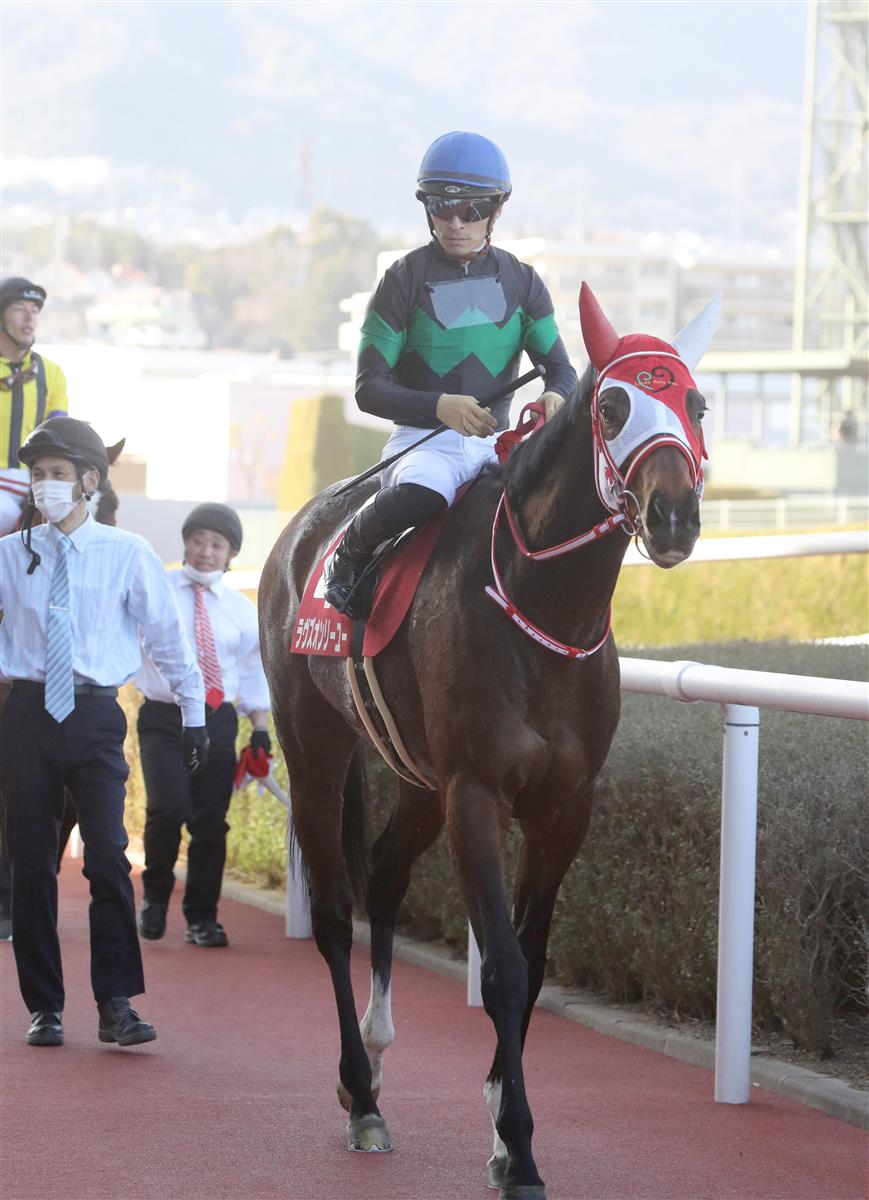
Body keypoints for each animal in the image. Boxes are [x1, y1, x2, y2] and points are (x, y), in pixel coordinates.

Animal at [258, 285, 720, 1195]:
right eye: (612, 406)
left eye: (696, 403)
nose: (673, 516)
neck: (544, 610)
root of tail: (299, 531)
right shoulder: (474, 791)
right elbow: (503, 967)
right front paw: (520, 1147)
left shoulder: (562, 806)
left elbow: (534, 965)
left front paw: (505, 1130)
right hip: (315, 746)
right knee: (332, 911)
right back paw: (361, 1096)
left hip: (417, 778)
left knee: (385, 874)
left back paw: (373, 1055)